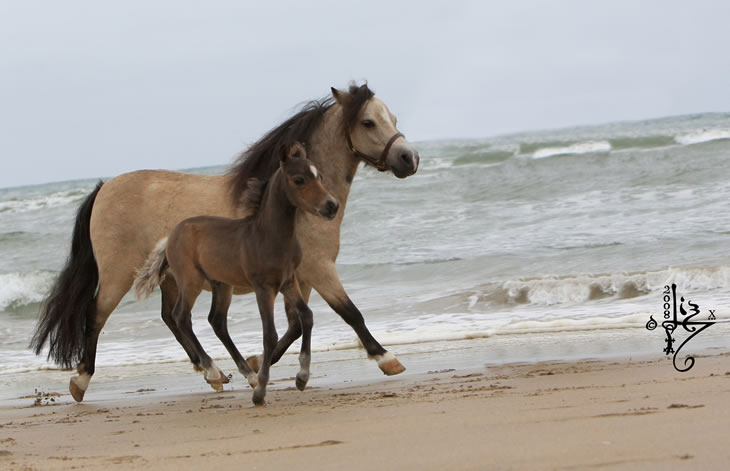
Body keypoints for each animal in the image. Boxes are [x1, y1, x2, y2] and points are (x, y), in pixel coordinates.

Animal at [134, 144, 338, 406]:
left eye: (320, 176)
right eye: (299, 180)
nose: (331, 205)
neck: (269, 236)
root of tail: (170, 236)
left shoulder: (288, 281)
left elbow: (307, 316)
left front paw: (301, 377)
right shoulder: (263, 288)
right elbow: (269, 335)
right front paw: (260, 393)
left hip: (221, 285)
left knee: (217, 321)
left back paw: (248, 375)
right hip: (190, 281)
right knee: (180, 316)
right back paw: (214, 372)